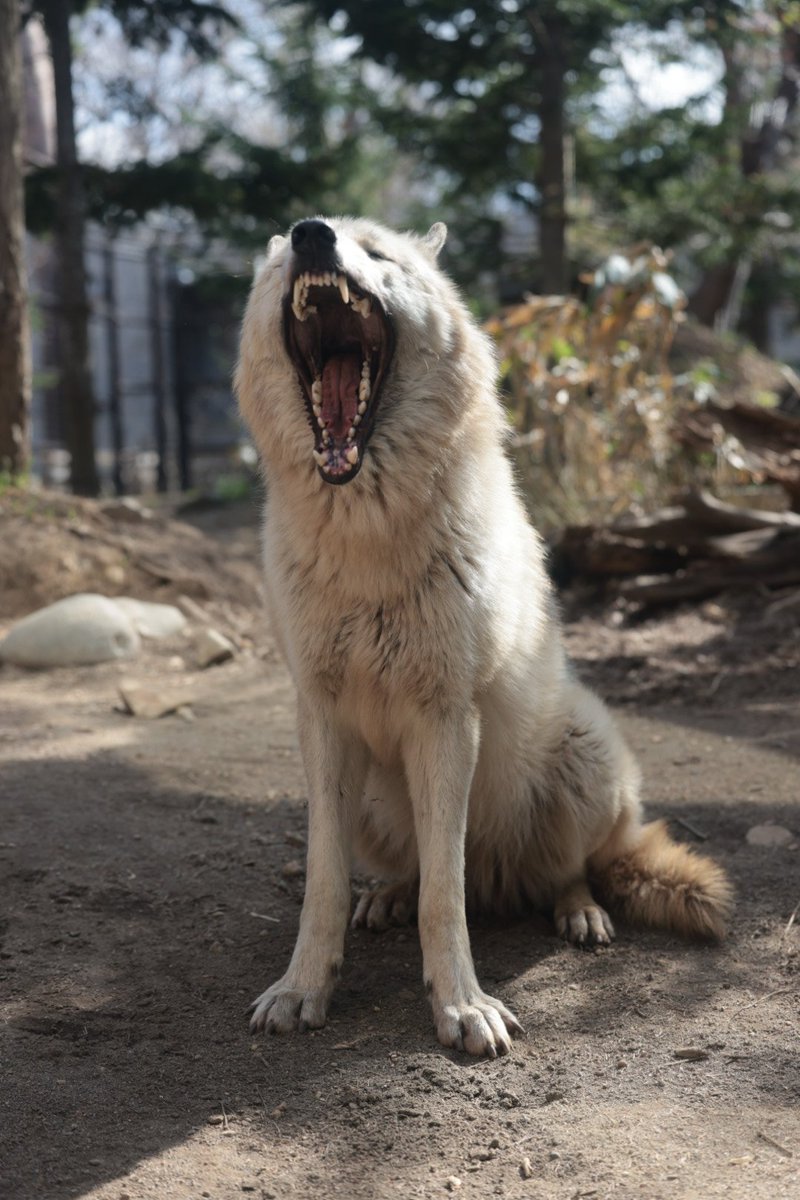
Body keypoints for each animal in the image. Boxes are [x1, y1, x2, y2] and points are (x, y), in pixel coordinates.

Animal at [232, 218, 734, 1060]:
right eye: (280, 263)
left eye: (377, 251)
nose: (311, 236)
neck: (367, 542)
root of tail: (505, 875)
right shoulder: (322, 719)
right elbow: (326, 883)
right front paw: (304, 989)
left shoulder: (446, 716)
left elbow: (446, 894)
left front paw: (462, 1007)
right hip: (377, 800)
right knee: (423, 874)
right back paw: (388, 897)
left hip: (586, 751)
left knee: (566, 870)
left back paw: (578, 911)